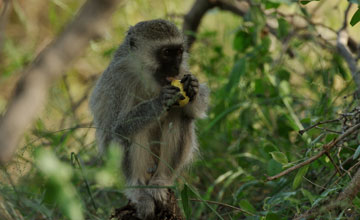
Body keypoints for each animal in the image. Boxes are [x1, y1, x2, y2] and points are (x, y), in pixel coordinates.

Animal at [88, 19, 210, 218]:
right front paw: (159, 102)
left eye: (179, 52)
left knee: (178, 115)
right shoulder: (120, 80)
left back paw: (161, 180)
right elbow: (117, 127)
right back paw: (138, 191)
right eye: (167, 53)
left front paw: (193, 88)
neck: (146, 75)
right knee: (131, 132)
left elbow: (194, 112)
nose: (175, 67)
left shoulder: (182, 71)